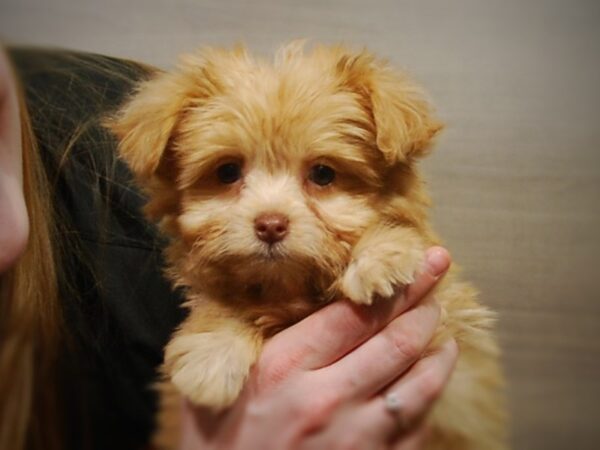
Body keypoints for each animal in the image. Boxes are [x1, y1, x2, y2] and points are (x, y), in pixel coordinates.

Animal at [106, 43, 506, 450]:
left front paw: (378, 257)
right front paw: (212, 354)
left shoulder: (453, 330)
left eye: (323, 174)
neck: (291, 291)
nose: (270, 224)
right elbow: (221, 301)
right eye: (228, 172)